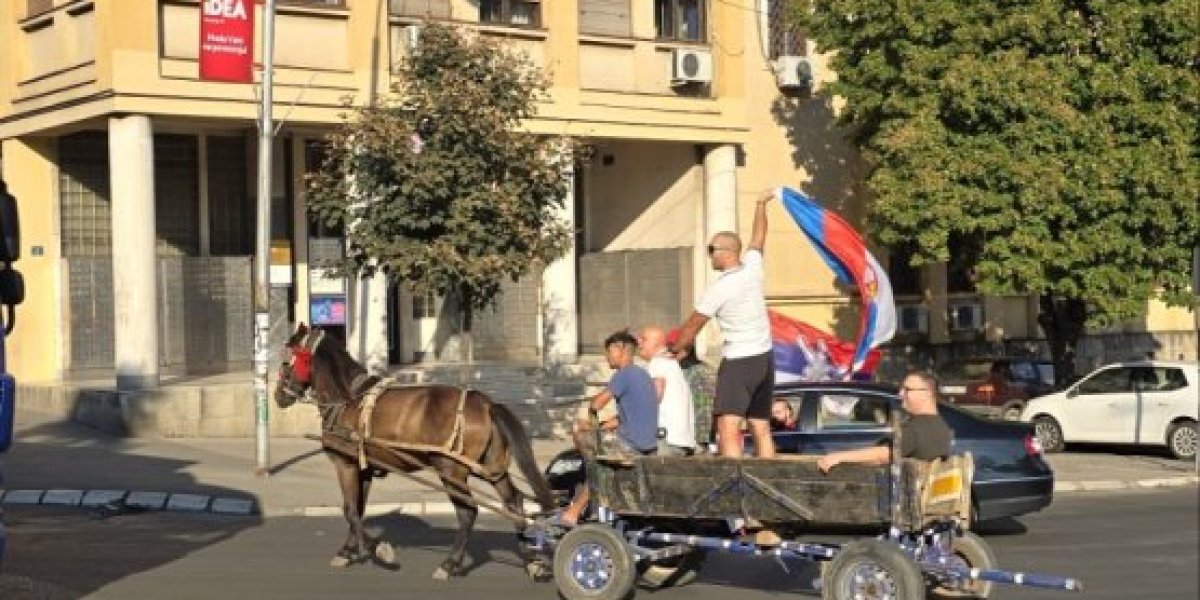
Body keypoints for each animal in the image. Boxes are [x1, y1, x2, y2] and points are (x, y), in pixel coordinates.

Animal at [274, 324, 554, 580]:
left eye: (286, 360)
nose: (278, 396)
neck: (349, 399)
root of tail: (486, 403)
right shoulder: (364, 468)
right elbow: (358, 509)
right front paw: (349, 550)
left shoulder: (345, 464)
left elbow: (350, 510)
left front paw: (377, 549)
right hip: (490, 468)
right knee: (514, 502)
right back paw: (531, 560)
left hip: (451, 470)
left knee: (468, 512)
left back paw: (450, 563)